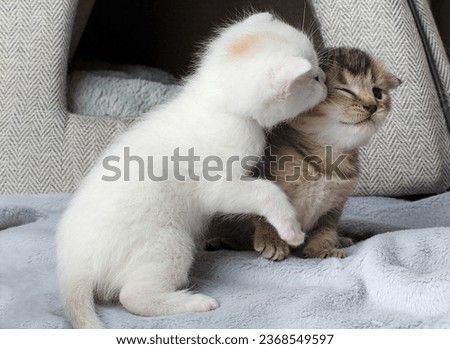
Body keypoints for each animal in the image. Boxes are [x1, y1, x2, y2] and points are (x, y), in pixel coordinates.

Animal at [56, 12, 326, 328]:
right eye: (312, 77)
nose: (324, 78)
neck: (214, 102)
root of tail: (73, 269)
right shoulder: (219, 186)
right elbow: (267, 192)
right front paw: (290, 229)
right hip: (169, 243)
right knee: (132, 297)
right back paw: (194, 302)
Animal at [207, 47, 400, 258]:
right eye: (344, 90)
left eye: (378, 93)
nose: (372, 106)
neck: (327, 155)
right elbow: (266, 211)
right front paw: (272, 240)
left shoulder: (334, 204)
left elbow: (325, 228)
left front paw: (322, 248)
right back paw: (220, 240)